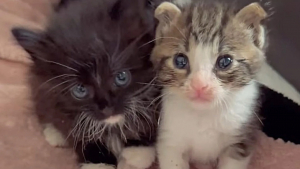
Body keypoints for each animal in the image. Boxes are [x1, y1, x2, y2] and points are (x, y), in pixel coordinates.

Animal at [11, 0, 162, 169]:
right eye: (80, 90)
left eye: (121, 77)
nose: (107, 107)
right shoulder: (54, 95)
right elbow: (74, 128)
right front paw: (98, 162)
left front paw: (138, 149)